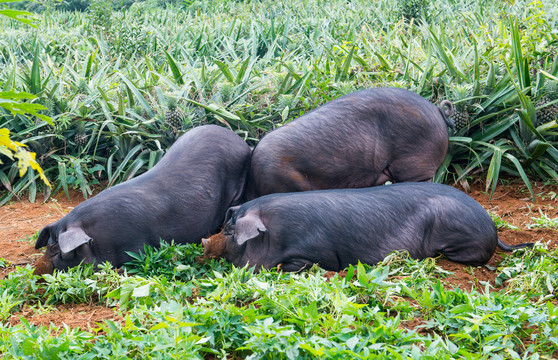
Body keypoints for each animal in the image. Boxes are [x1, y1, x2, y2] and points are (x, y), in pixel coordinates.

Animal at [34, 125, 253, 274]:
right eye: (47, 246)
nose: (37, 271)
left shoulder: (138, 248)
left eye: (56, 250)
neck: (98, 238)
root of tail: (241, 143)